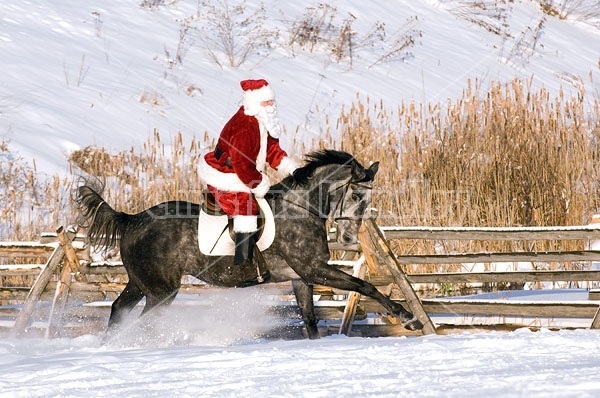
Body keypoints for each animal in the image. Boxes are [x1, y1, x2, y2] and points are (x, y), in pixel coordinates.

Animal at [75, 150, 422, 338]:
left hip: (140, 283)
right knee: (143, 322)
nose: (349, 239)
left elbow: (310, 321)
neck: (300, 208)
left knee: (119, 310)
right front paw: (409, 318)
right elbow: (366, 286)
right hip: (161, 291)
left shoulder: (301, 278)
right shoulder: (315, 270)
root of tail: (132, 219)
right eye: (355, 195)